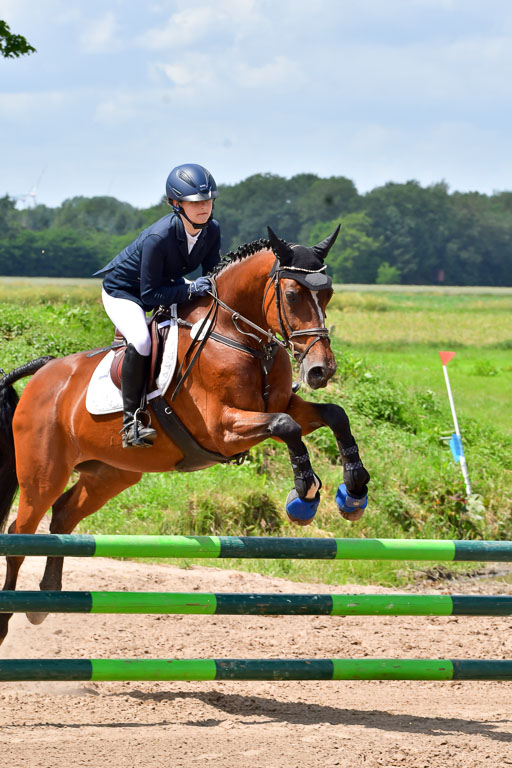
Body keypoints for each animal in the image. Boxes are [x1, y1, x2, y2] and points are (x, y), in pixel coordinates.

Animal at [0, 226, 370, 644]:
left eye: (328, 294)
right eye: (291, 295)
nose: (322, 370)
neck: (239, 337)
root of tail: (42, 375)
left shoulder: (284, 405)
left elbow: (334, 416)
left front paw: (354, 491)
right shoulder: (222, 428)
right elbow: (285, 427)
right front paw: (304, 495)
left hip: (111, 473)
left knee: (62, 516)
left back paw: (44, 601)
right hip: (42, 475)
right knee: (19, 536)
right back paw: (9, 615)